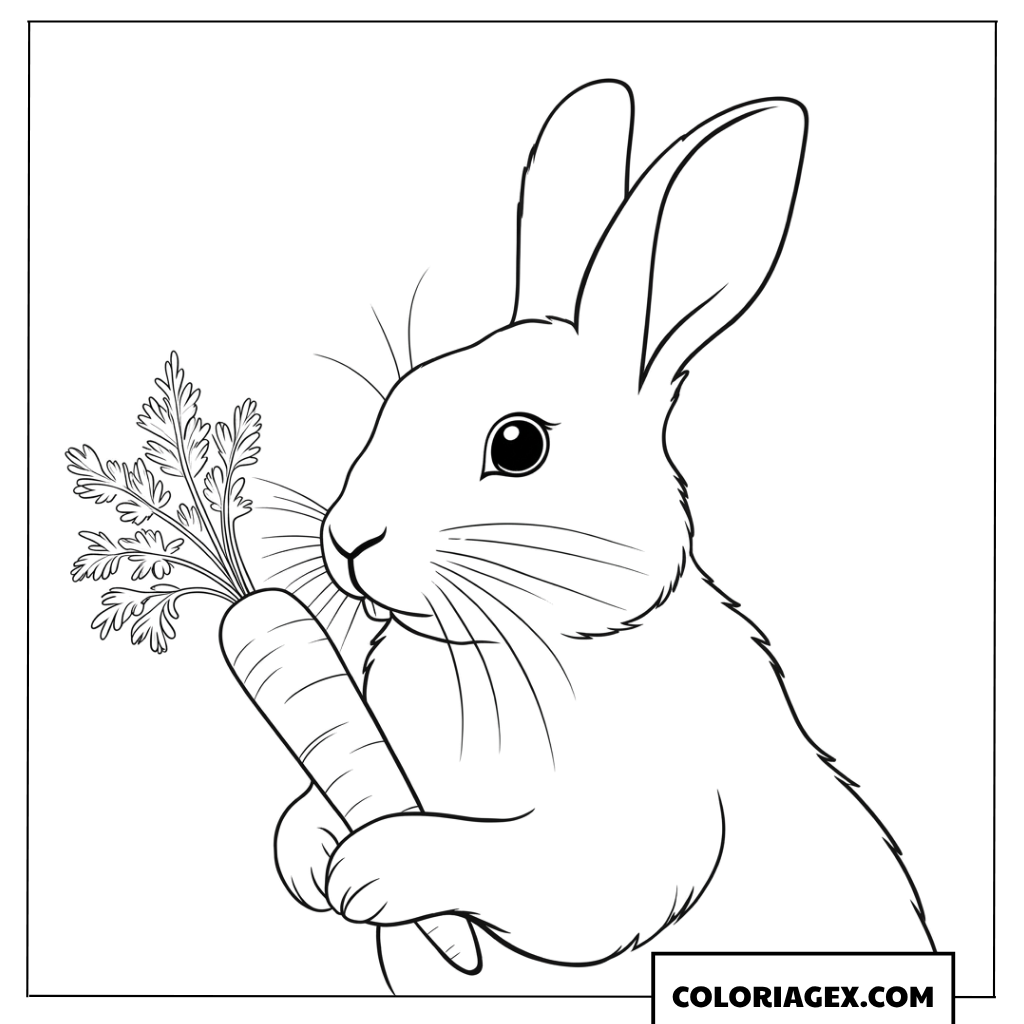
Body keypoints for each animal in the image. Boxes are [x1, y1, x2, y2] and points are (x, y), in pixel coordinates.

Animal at [273, 80, 934, 995]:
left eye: (517, 445)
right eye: (400, 396)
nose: (348, 539)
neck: (515, 639)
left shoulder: (639, 826)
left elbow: (543, 877)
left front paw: (376, 866)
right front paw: (308, 851)